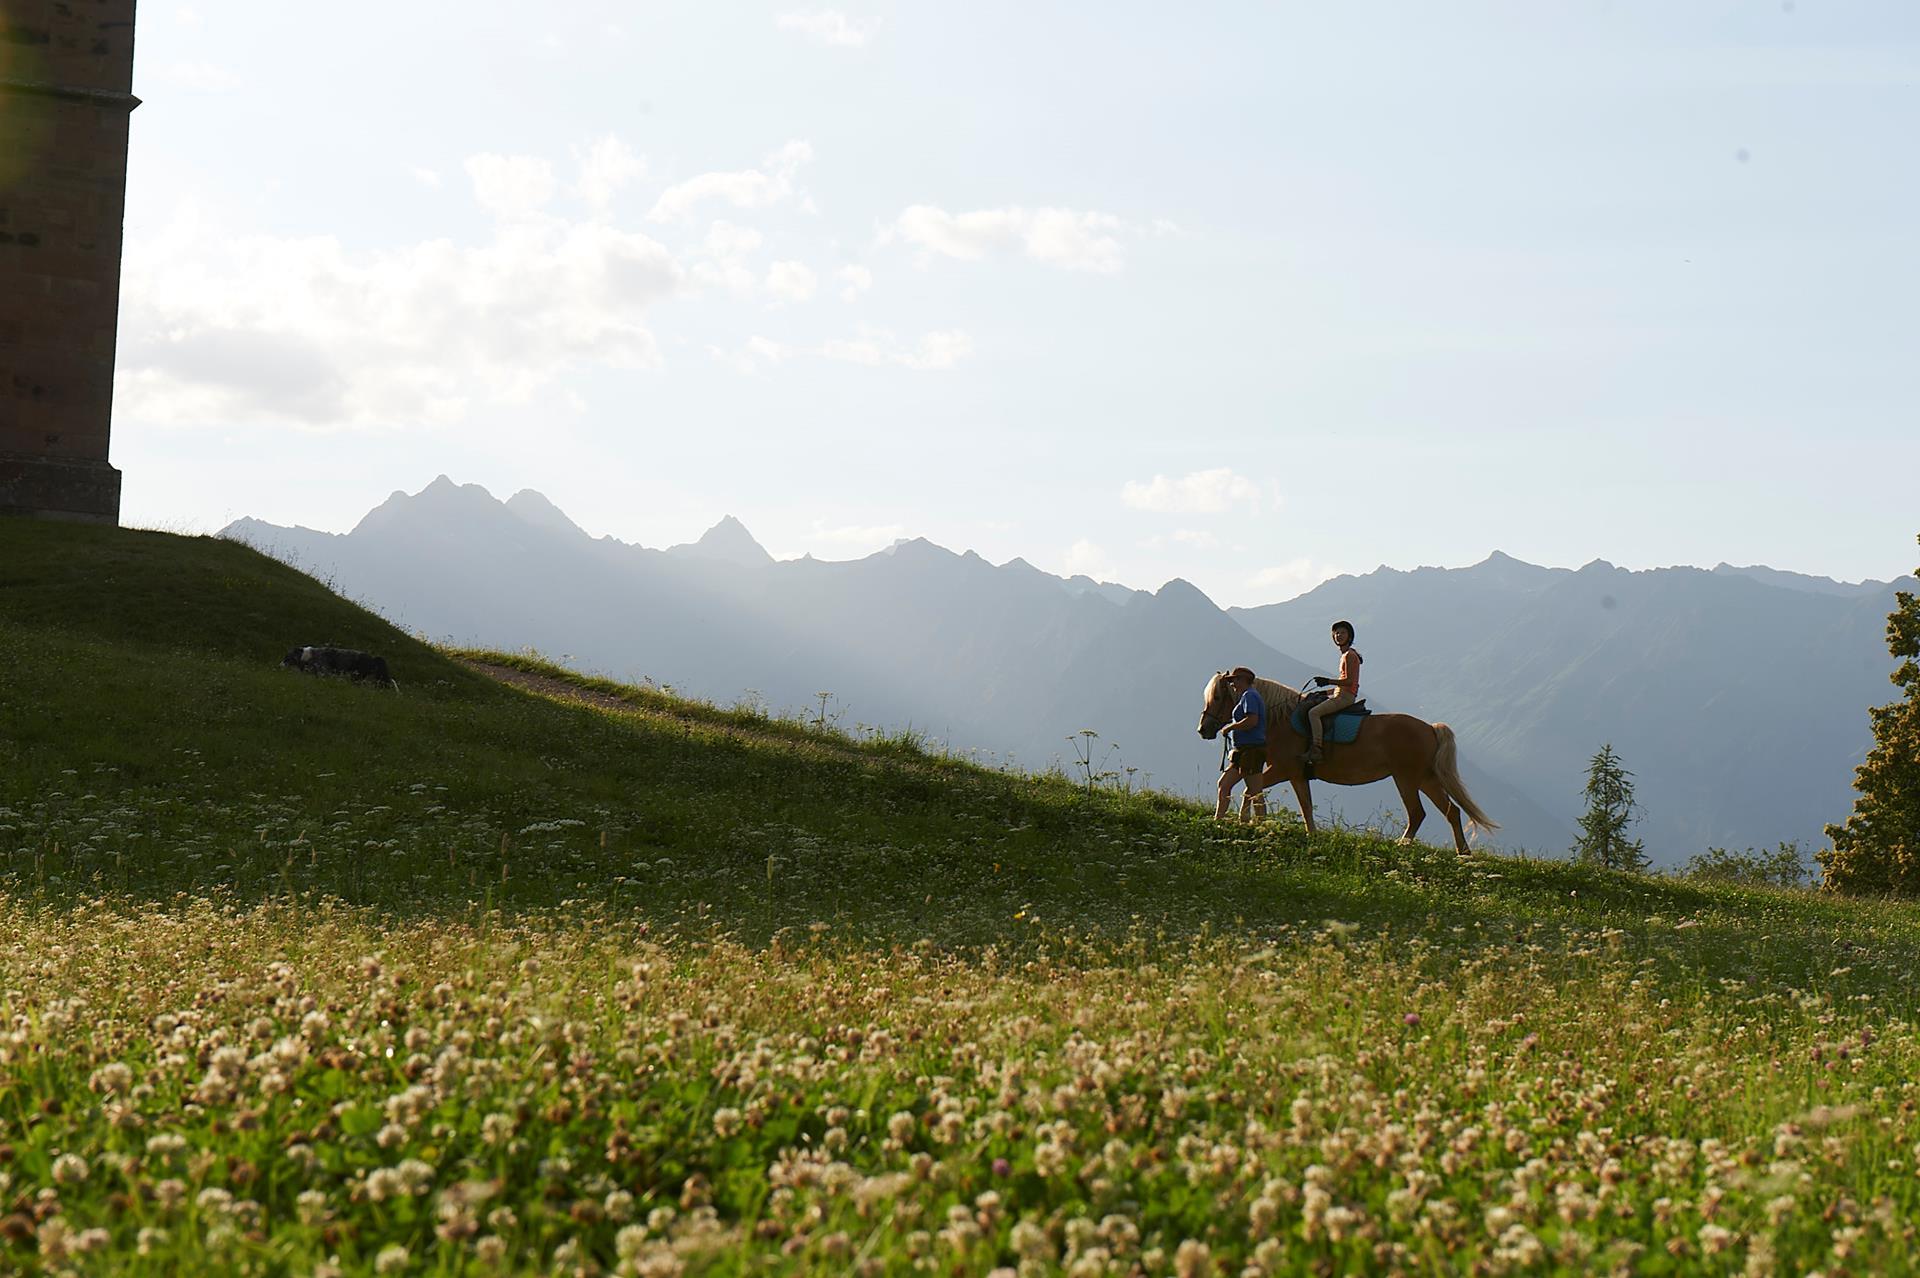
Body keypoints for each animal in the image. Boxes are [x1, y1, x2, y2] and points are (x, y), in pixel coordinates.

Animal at [1198, 667, 1497, 855]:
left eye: (1218, 696)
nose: (1204, 729)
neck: (1279, 719)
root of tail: (1430, 728)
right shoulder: (1296, 774)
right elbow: (1305, 805)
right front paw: (1311, 835)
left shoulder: (1282, 769)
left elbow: (1251, 791)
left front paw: (1246, 821)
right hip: (1426, 778)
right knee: (1451, 811)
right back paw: (1463, 852)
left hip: (1407, 779)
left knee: (1418, 813)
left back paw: (1404, 844)